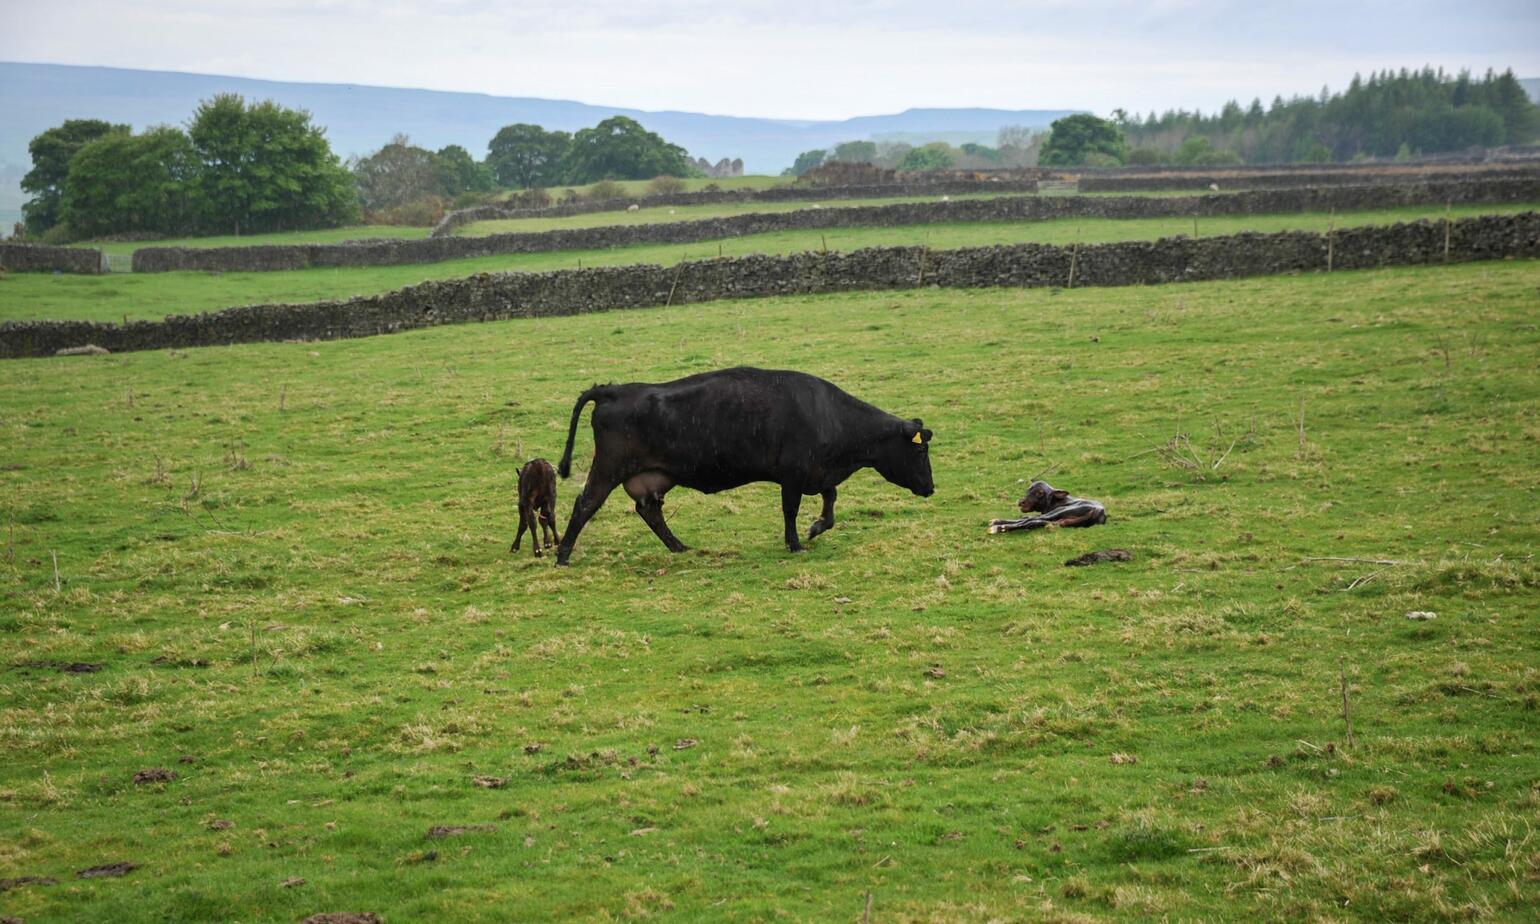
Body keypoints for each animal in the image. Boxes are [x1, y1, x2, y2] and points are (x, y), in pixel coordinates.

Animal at [557, 368, 936, 563]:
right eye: (920, 451)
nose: (931, 487)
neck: (829, 414)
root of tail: (614, 390)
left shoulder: (819, 471)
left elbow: (830, 502)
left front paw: (816, 528)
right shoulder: (793, 474)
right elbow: (791, 510)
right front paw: (795, 543)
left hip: (652, 477)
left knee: (650, 511)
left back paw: (679, 547)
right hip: (609, 467)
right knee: (585, 504)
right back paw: (562, 554)